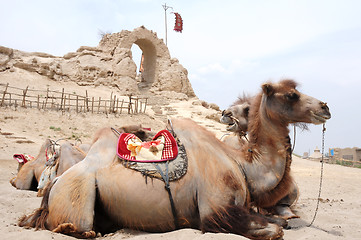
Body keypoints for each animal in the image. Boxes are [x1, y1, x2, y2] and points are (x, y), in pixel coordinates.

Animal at [19, 79, 330, 239]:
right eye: (292, 94)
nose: (325, 106)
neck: (241, 164)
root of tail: (54, 183)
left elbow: (280, 222)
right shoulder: (215, 212)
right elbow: (275, 229)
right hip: (77, 195)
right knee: (78, 227)